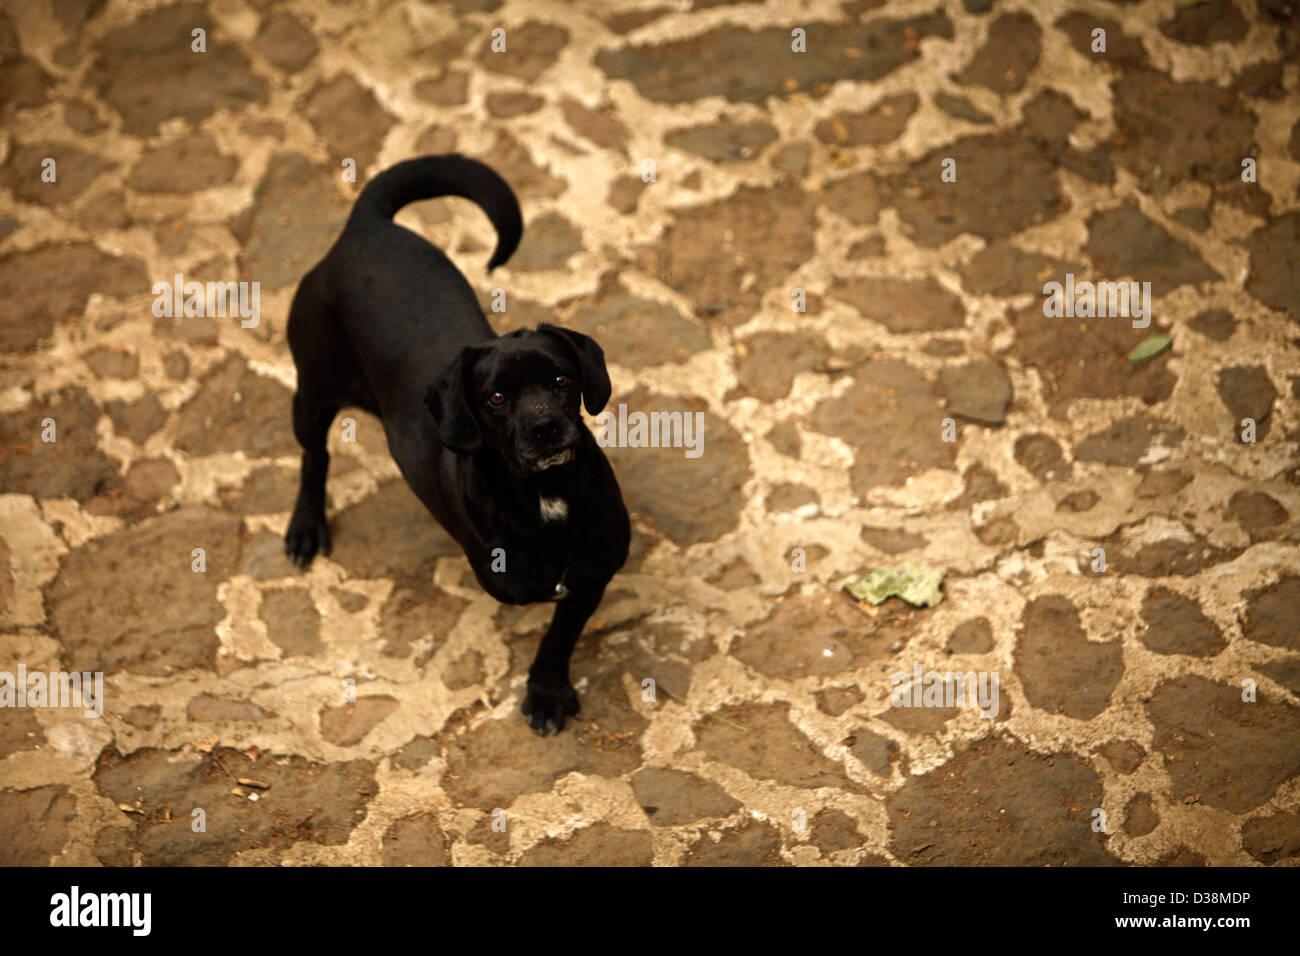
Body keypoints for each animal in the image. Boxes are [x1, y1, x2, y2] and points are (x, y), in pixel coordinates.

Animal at [283, 155, 629, 733]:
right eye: (496, 397)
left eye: (561, 380)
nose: (544, 428)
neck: (546, 496)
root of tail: (366, 224)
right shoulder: (517, 578)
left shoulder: (590, 574)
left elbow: (559, 635)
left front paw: (547, 692)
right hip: (312, 392)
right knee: (316, 456)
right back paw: (306, 528)